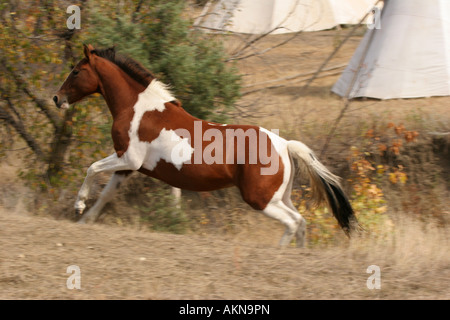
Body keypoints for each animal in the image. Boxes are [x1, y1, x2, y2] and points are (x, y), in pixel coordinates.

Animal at [52, 43, 356, 246]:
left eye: (76, 71)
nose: (57, 98)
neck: (138, 108)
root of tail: (283, 144)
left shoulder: (129, 158)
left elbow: (92, 168)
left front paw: (78, 206)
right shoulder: (127, 166)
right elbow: (106, 194)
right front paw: (85, 220)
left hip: (260, 199)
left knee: (292, 223)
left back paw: (279, 254)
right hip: (280, 197)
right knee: (301, 222)